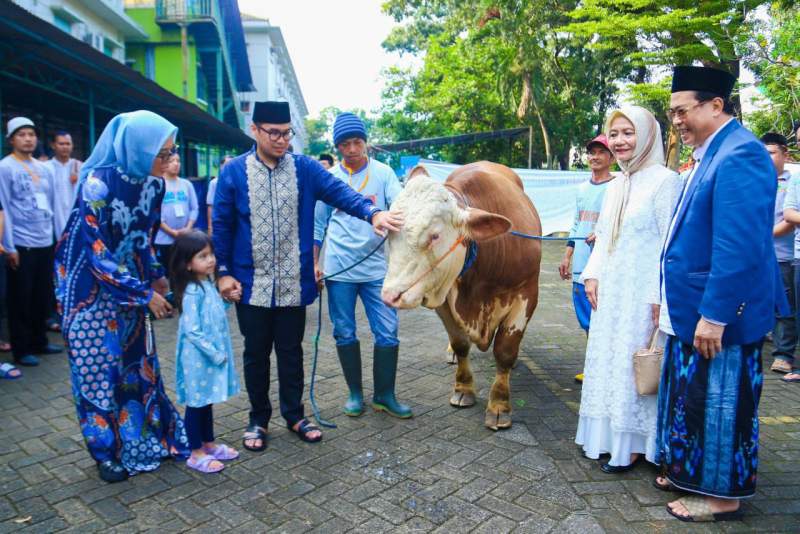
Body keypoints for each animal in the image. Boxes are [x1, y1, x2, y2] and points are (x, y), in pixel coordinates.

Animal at [382, 162, 544, 432]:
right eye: (388, 233)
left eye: (435, 236)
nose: (390, 295)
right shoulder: (442, 297)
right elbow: (460, 343)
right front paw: (463, 389)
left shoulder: (527, 295)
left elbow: (505, 351)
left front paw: (499, 405)